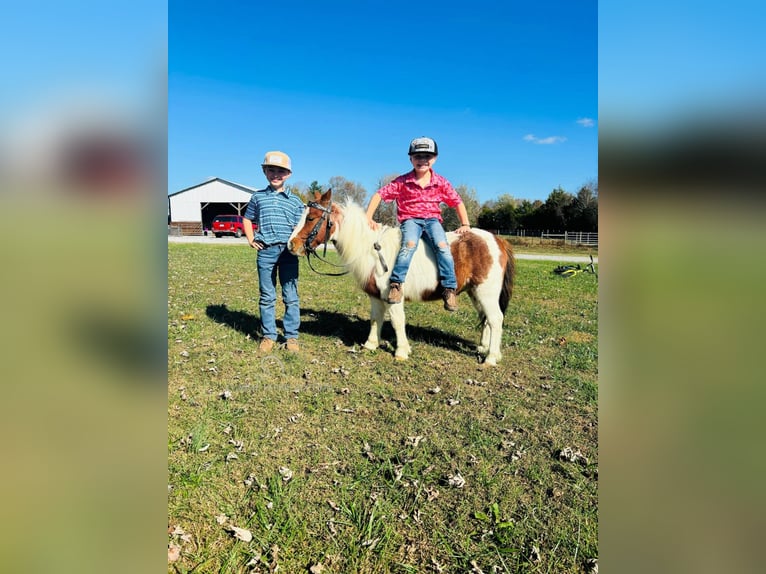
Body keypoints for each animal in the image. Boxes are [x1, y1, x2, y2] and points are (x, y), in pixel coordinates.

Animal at [288, 191, 516, 366]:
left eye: (311, 218)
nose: (291, 245)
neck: (372, 249)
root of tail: (497, 240)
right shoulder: (375, 296)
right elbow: (375, 319)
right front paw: (371, 344)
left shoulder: (393, 296)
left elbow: (398, 321)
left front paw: (401, 351)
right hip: (475, 293)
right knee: (486, 319)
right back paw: (484, 347)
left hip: (486, 293)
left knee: (496, 319)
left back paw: (491, 358)